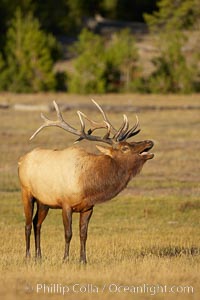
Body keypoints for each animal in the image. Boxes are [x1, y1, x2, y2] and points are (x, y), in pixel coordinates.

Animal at [18, 100, 154, 262]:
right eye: (125, 148)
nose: (149, 142)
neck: (88, 186)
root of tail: (21, 160)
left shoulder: (88, 207)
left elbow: (84, 234)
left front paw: (83, 260)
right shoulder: (66, 204)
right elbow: (68, 233)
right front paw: (65, 259)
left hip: (44, 201)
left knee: (36, 223)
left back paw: (39, 256)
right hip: (26, 192)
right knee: (27, 224)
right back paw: (27, 256)